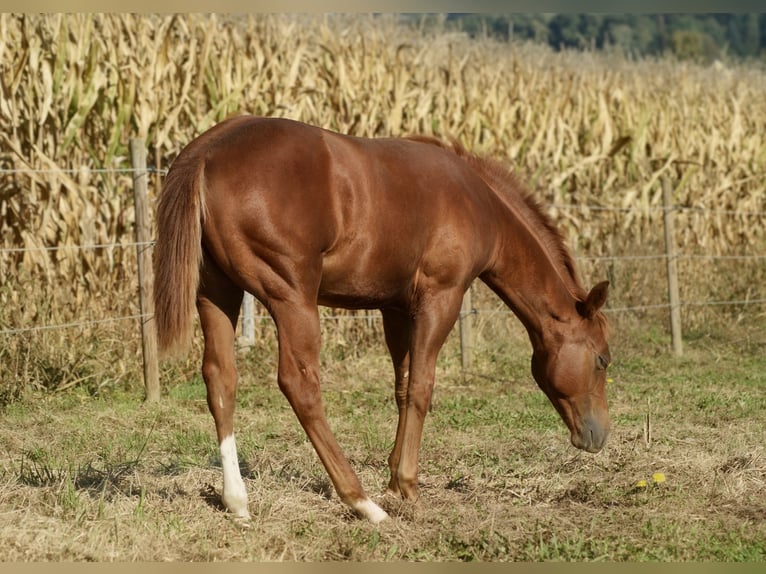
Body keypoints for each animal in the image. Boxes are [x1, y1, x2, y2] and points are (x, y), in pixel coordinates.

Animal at [153, 115, 611, 525]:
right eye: (603, 359)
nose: (598, 435)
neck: (479, 201)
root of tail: (207, 152)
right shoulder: (440, 299)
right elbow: (422, 387)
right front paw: (407, 486)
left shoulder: (395, 308)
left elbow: (403, 387)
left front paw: (394, 481)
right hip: (291, 297)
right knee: (300, 385)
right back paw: (360, 502)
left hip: (217, 293)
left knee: (220, 379)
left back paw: (237, 501)